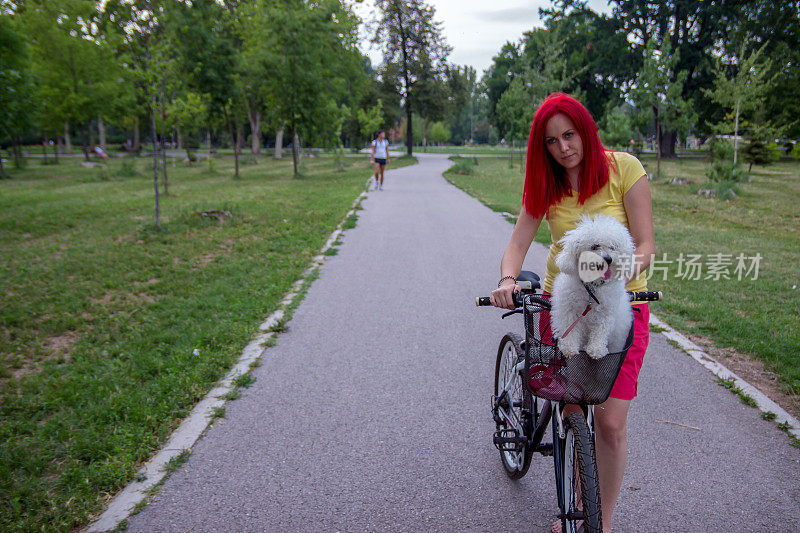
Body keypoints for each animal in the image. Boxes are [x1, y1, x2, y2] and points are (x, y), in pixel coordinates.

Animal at [552, 213, 636, 358]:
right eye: (595, 246)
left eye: (613, 247)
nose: (608, 259)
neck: (592, 287)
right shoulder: (569, 310)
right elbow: (570, 329)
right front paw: (569, 347)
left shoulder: (606, 314)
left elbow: (600, 331)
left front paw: (596, 349)